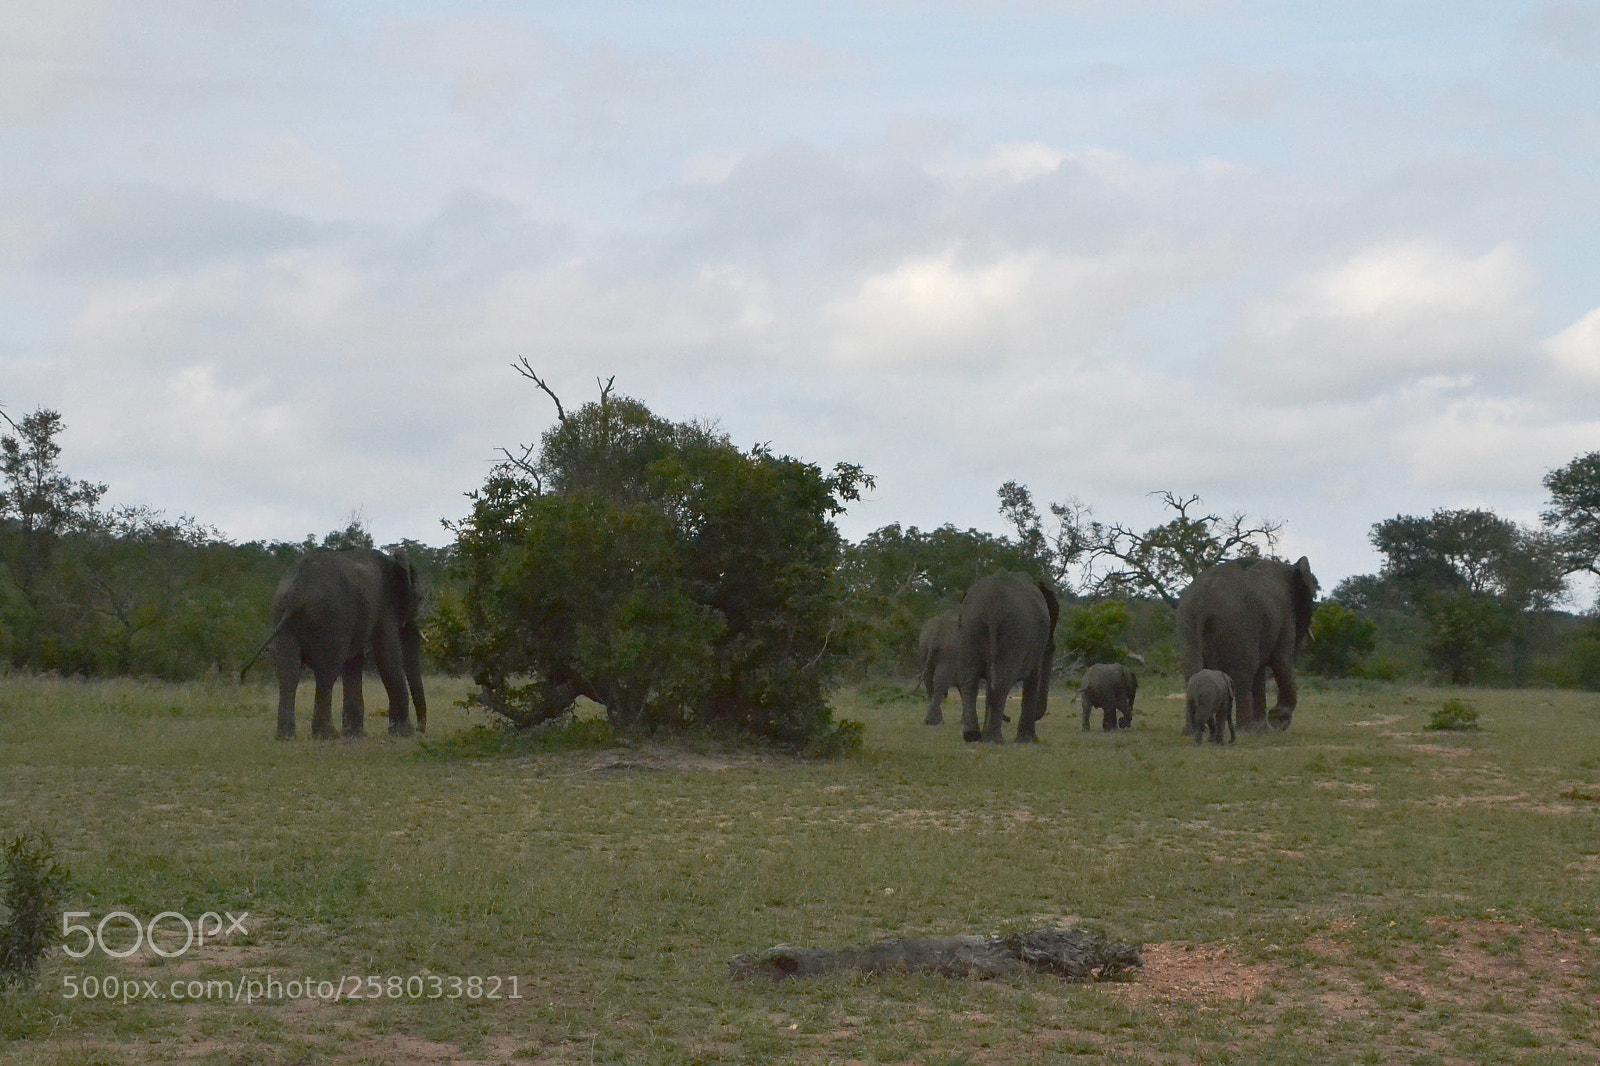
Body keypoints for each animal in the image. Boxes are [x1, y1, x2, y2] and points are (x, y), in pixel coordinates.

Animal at [246, 547, 427, 739]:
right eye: (419, 598)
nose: (420, 729)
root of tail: (297, 593)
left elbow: (354, 662)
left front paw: (355, 735)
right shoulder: (384, 606)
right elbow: (387, 655)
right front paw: (404, 734)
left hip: (282, 614)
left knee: (288, 671)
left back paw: (285, 737)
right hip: (332, 618)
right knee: (327, 671)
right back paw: (327, 734)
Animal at [954, 571, 1059, 743]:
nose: (1008, 718)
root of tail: (991, 608)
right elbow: (1032, 679)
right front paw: (1028, 741)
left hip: (970, 628)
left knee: (970, 679)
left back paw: (973, 736)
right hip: (1013, 632)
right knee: (1002, 681)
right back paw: (994, 740)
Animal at [1175, 556, 1316, 732]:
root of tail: (1203, 603)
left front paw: (1266, 728)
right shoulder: (1284, 615)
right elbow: (1281, 661)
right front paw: (1277, 722)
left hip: (1187, 620)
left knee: (1192, 670)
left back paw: (1194, 731)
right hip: (1239, 625)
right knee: (1245, 672)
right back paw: (1247, 730)